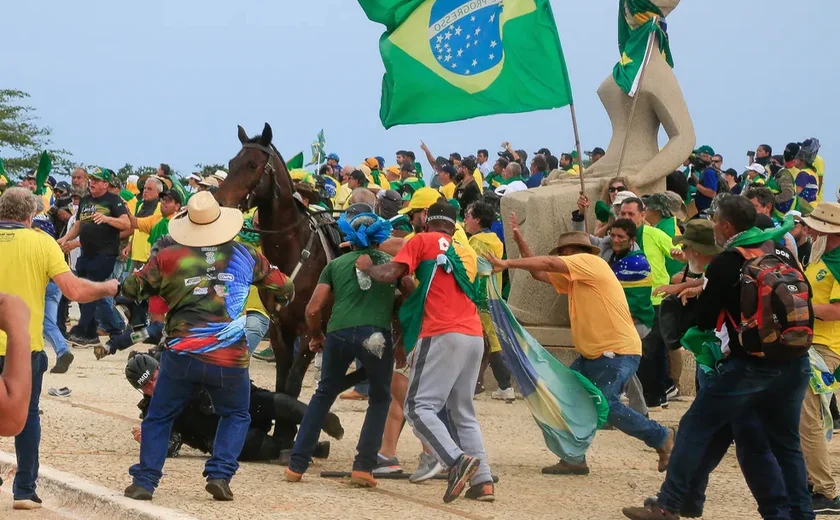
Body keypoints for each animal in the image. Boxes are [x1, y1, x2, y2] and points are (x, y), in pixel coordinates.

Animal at [217, 123, 334, 398]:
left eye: (252, 165)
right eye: (232, 162)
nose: (221, 204)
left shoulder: (310, 333)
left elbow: (290, 388)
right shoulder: (280, 329)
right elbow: (281, 387)